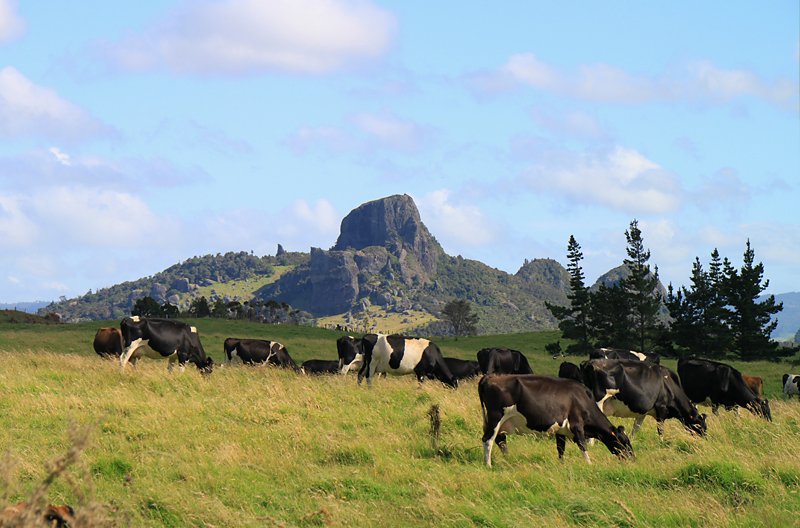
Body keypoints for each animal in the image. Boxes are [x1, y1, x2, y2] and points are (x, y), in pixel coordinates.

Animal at [479, 374, 633, 466]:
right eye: (623, 442)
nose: (633, 458)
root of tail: (489, 376)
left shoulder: (561, 429)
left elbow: (561, 448)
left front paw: (562, 464)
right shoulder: (577, 424)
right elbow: (583, 445)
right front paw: (589, 464)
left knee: (500, 440)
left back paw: (507, 459)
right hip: (495, 417)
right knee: (488, 439)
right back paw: (488, 465)